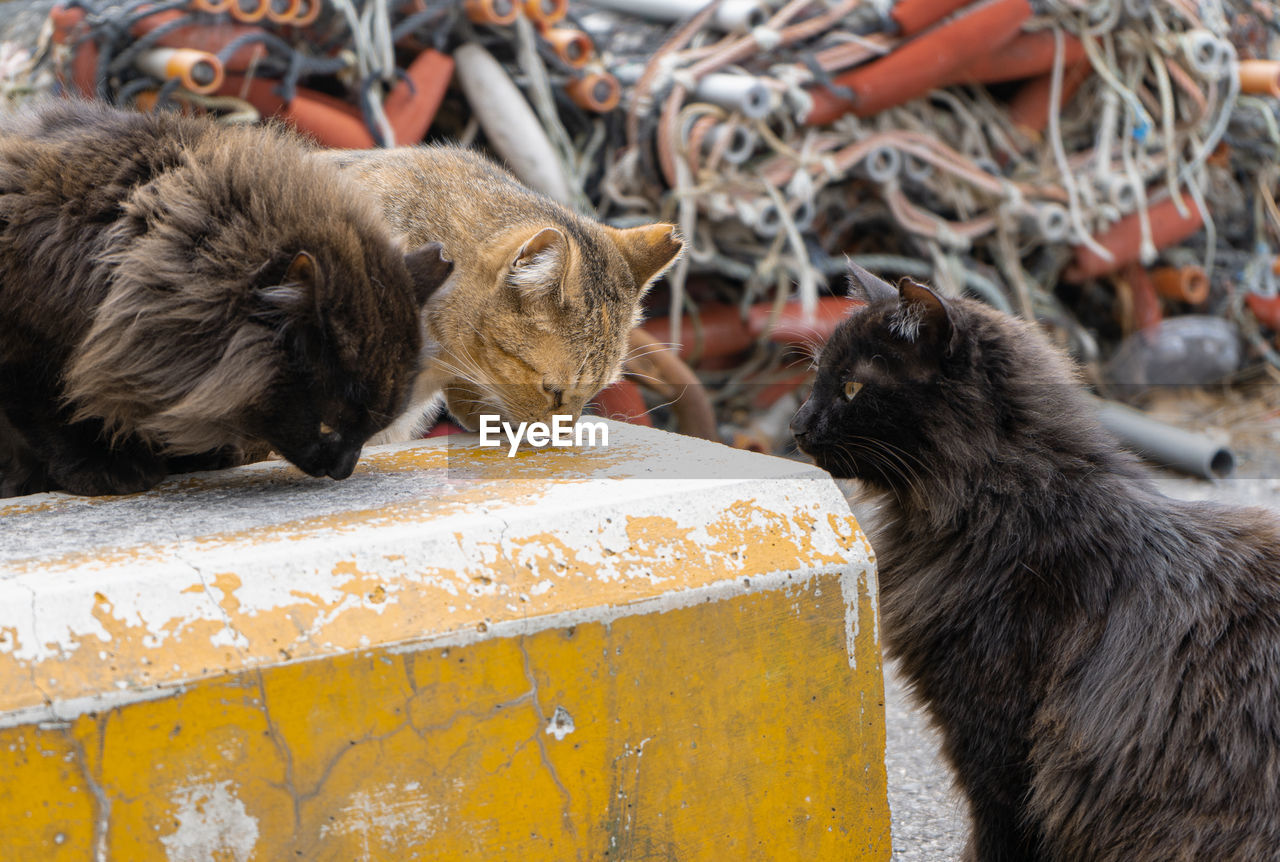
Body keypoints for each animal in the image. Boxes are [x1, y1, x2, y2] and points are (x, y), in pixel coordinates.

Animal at [0, 99, 453, 494]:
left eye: (373, 428)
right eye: (328, 424)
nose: (343, 468)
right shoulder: (28, 350)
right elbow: (57, 417)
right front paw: (108, 468)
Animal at [788, 262, 1280, 860]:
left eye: (852, 387)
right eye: (817, 377)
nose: (797, 424)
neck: (1008, 509)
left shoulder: (997, 740)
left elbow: (1000, 835)